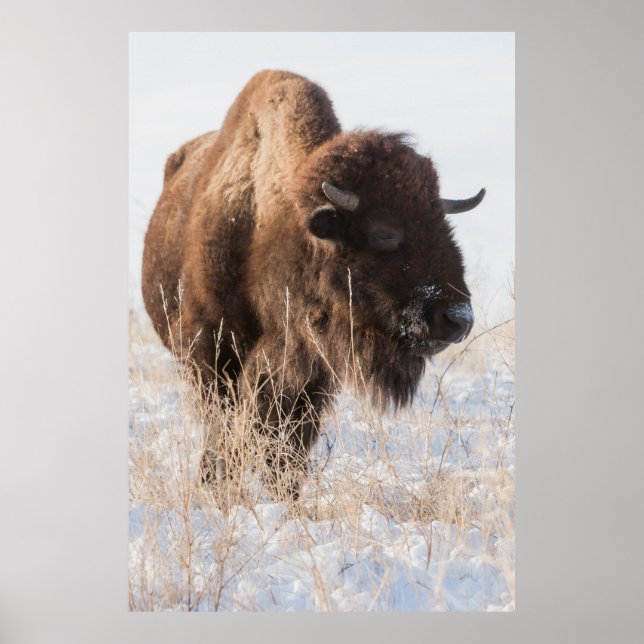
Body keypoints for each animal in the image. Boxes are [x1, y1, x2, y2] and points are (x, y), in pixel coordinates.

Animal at [142, 70, 485, 499]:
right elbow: (226, 430)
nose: (457, 319)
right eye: (384, 232)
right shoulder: (211, 350)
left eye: (444, 223)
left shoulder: (309, 372)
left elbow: (289, 444)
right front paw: (220, 490)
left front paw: (285, 497)